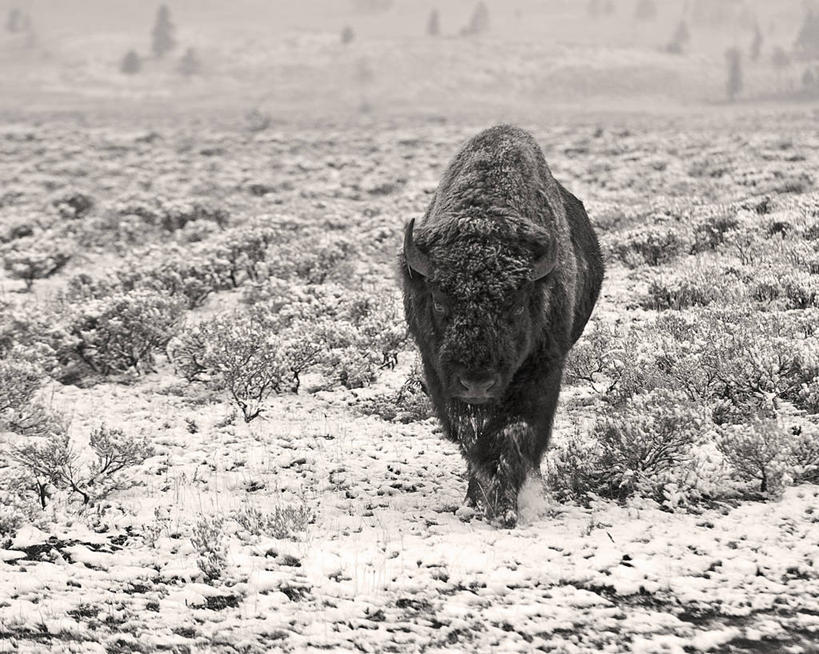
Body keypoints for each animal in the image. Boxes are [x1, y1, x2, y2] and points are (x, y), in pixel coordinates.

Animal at [400, 125, 604, 532]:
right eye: (440, 301)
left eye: (517, 303)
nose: (477, 382)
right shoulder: (440, 377)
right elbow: (472, 440)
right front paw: (478, 501)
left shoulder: (541, 373)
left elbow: (515, 434)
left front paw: (507, 509)